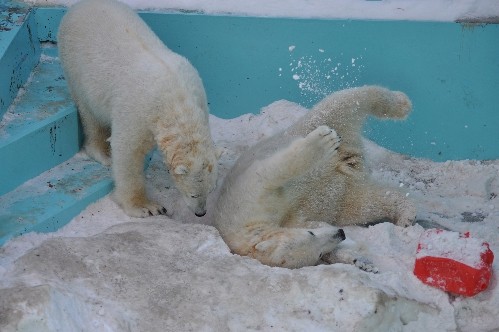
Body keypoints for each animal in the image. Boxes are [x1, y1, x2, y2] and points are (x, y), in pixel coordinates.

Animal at [57, 0, 218, 217]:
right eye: (193, 194)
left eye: (211, 190)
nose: (201, 213)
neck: (176, 100)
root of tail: (80, 6)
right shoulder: (138, 112)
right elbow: (127, 152)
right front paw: (146, 207)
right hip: (75, 65)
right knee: (89, 112)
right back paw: (102, 152)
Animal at [215, 84, 418, 268]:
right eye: (317, 251)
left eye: (309, 235)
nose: (341, 233)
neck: (247, 227)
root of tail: (345, 159)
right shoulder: (294, 222)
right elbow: (315, 224)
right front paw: (359, 260)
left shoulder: (251, 194)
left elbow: (274, 170)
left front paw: (321, 143)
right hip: (341, 195)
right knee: (364, 203)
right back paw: (405, 215)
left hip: (319, 123)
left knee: (348, 101)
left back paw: (401, 103)